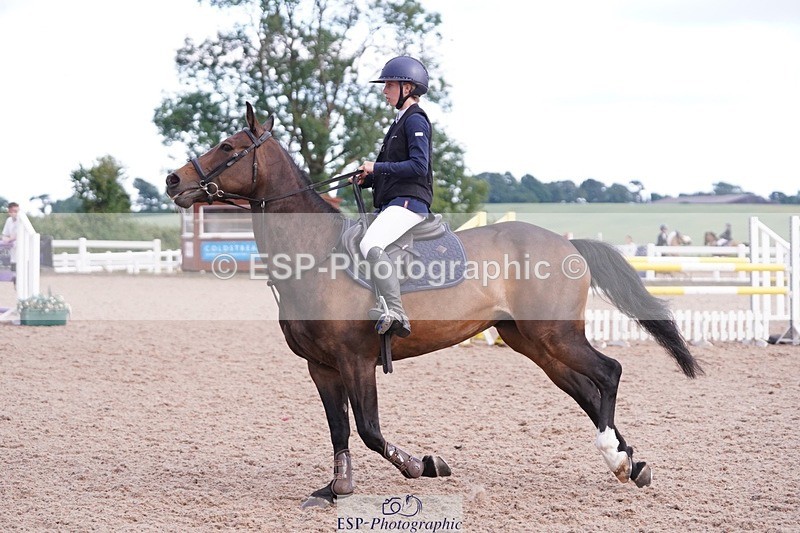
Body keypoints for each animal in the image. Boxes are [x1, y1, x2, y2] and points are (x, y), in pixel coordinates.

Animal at [166, 103, 702, 507]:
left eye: (229, 148)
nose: (172, 181)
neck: (315, 255)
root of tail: (567, 244)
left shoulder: (356, 360)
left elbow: (369, 430)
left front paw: (424, 465)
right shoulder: (321, 367)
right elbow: (339, 430)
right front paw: (335, 488)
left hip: (556, 334)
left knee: (608, 373)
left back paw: (617, 456)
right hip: (533, 343)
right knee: (586, 391)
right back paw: (630, 463)